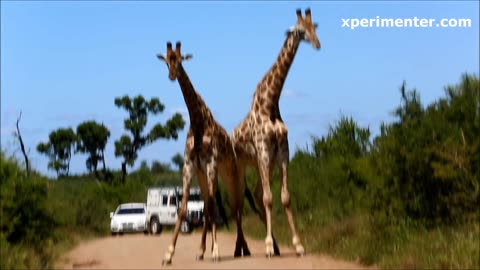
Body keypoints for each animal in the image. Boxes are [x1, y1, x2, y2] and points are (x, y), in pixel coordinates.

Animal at [158, 41, 251, 264]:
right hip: (207, 175)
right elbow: (184, 209)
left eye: (180, 60)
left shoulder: (210, 164)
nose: (172, 75)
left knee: (235, 207)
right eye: (166, 61)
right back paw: (203, 251)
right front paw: (168, 254)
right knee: (212, 208)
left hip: (229, 173)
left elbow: (212, 206)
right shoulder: (190, 167)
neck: (198, 123)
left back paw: (242, 248)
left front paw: (216, 251)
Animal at [232, 8, 320, 258]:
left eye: (314, 27)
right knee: (239, 204)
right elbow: (269, 199)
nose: (318, 44)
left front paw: (297, 245)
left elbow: (284, 198)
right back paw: (242, 248)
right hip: (239, 166)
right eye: (300, 31)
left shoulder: (281, 153)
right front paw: (269, 246)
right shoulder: (262, 151)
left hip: (263, 164)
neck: (270, 103)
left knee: (256, 195)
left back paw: (277, 246)